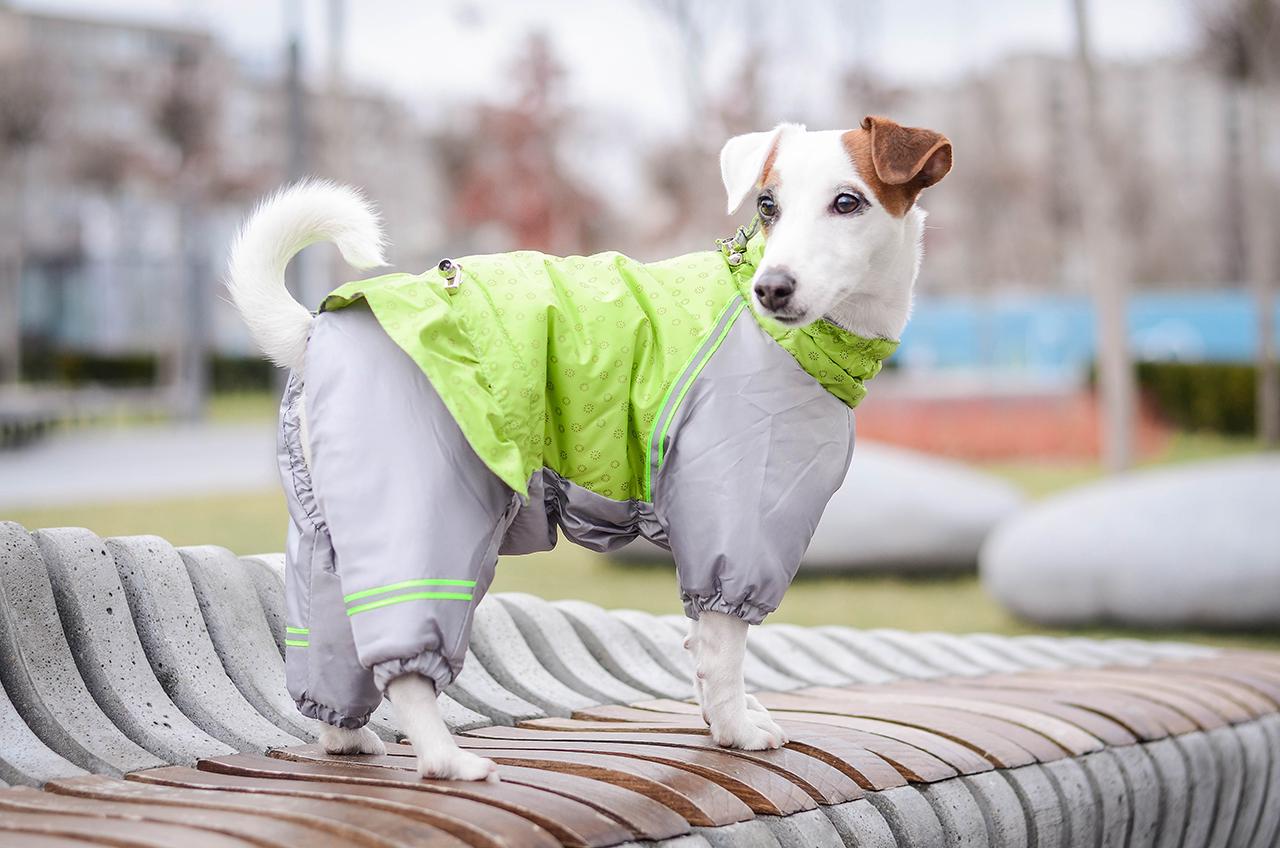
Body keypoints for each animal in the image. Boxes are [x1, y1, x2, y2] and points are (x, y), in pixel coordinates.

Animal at [227, 116, 952, 778]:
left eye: (848, 202)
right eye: (767, 205)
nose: (773, 287)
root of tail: (315, 333)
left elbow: (701, 650)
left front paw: (722, 720)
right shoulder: (736, 519)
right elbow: (723, 649)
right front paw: (736, 731)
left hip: (327, 533)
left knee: (331, 644)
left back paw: (346, 739)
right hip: (423, 508)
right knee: (404, 661)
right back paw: (445, 760)